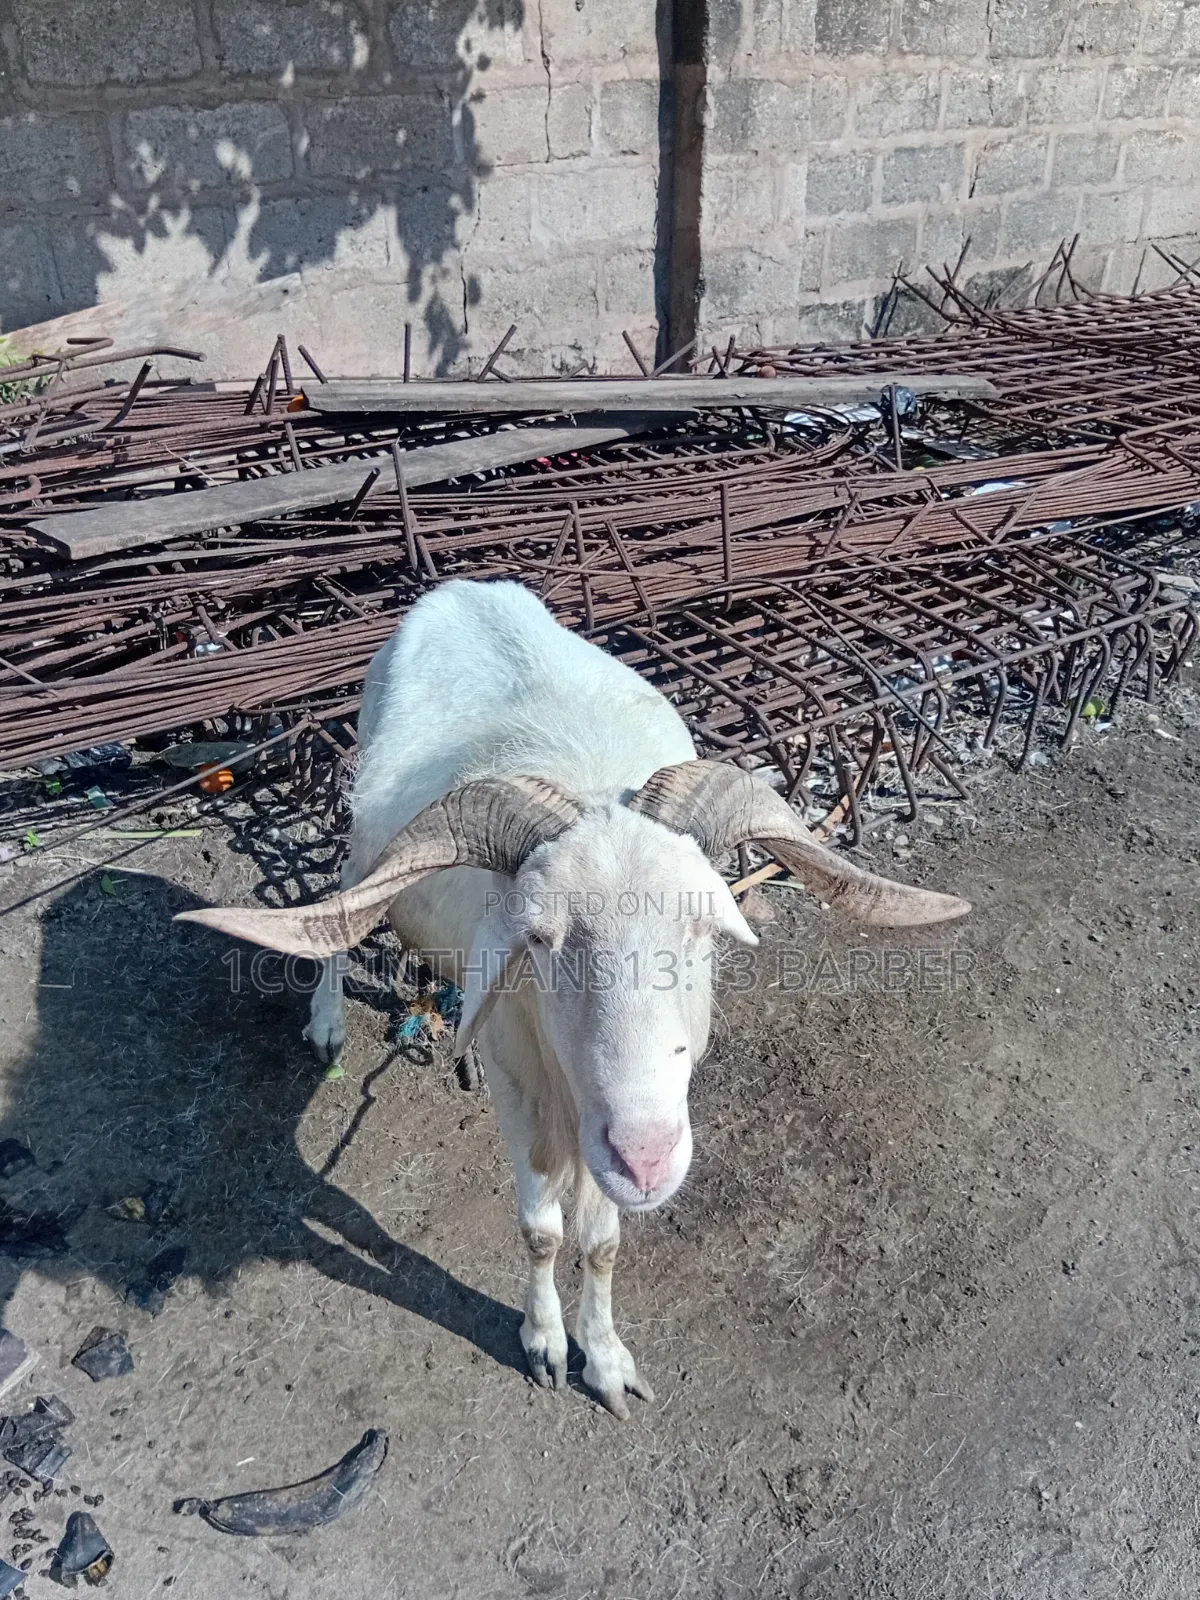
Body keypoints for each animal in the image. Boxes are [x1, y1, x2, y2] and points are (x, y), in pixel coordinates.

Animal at [180, 579, 969, 1417]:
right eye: (540, 938)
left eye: (703, 928)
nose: (647, 1158)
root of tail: (462, 587)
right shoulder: (523, 1079)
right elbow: (541, 1232)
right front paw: (546, 1346)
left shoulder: (601, 1116)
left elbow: (602, 1241)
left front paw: (607, 1360)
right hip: (368, 829)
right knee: (342, 896)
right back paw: (328, 1023)